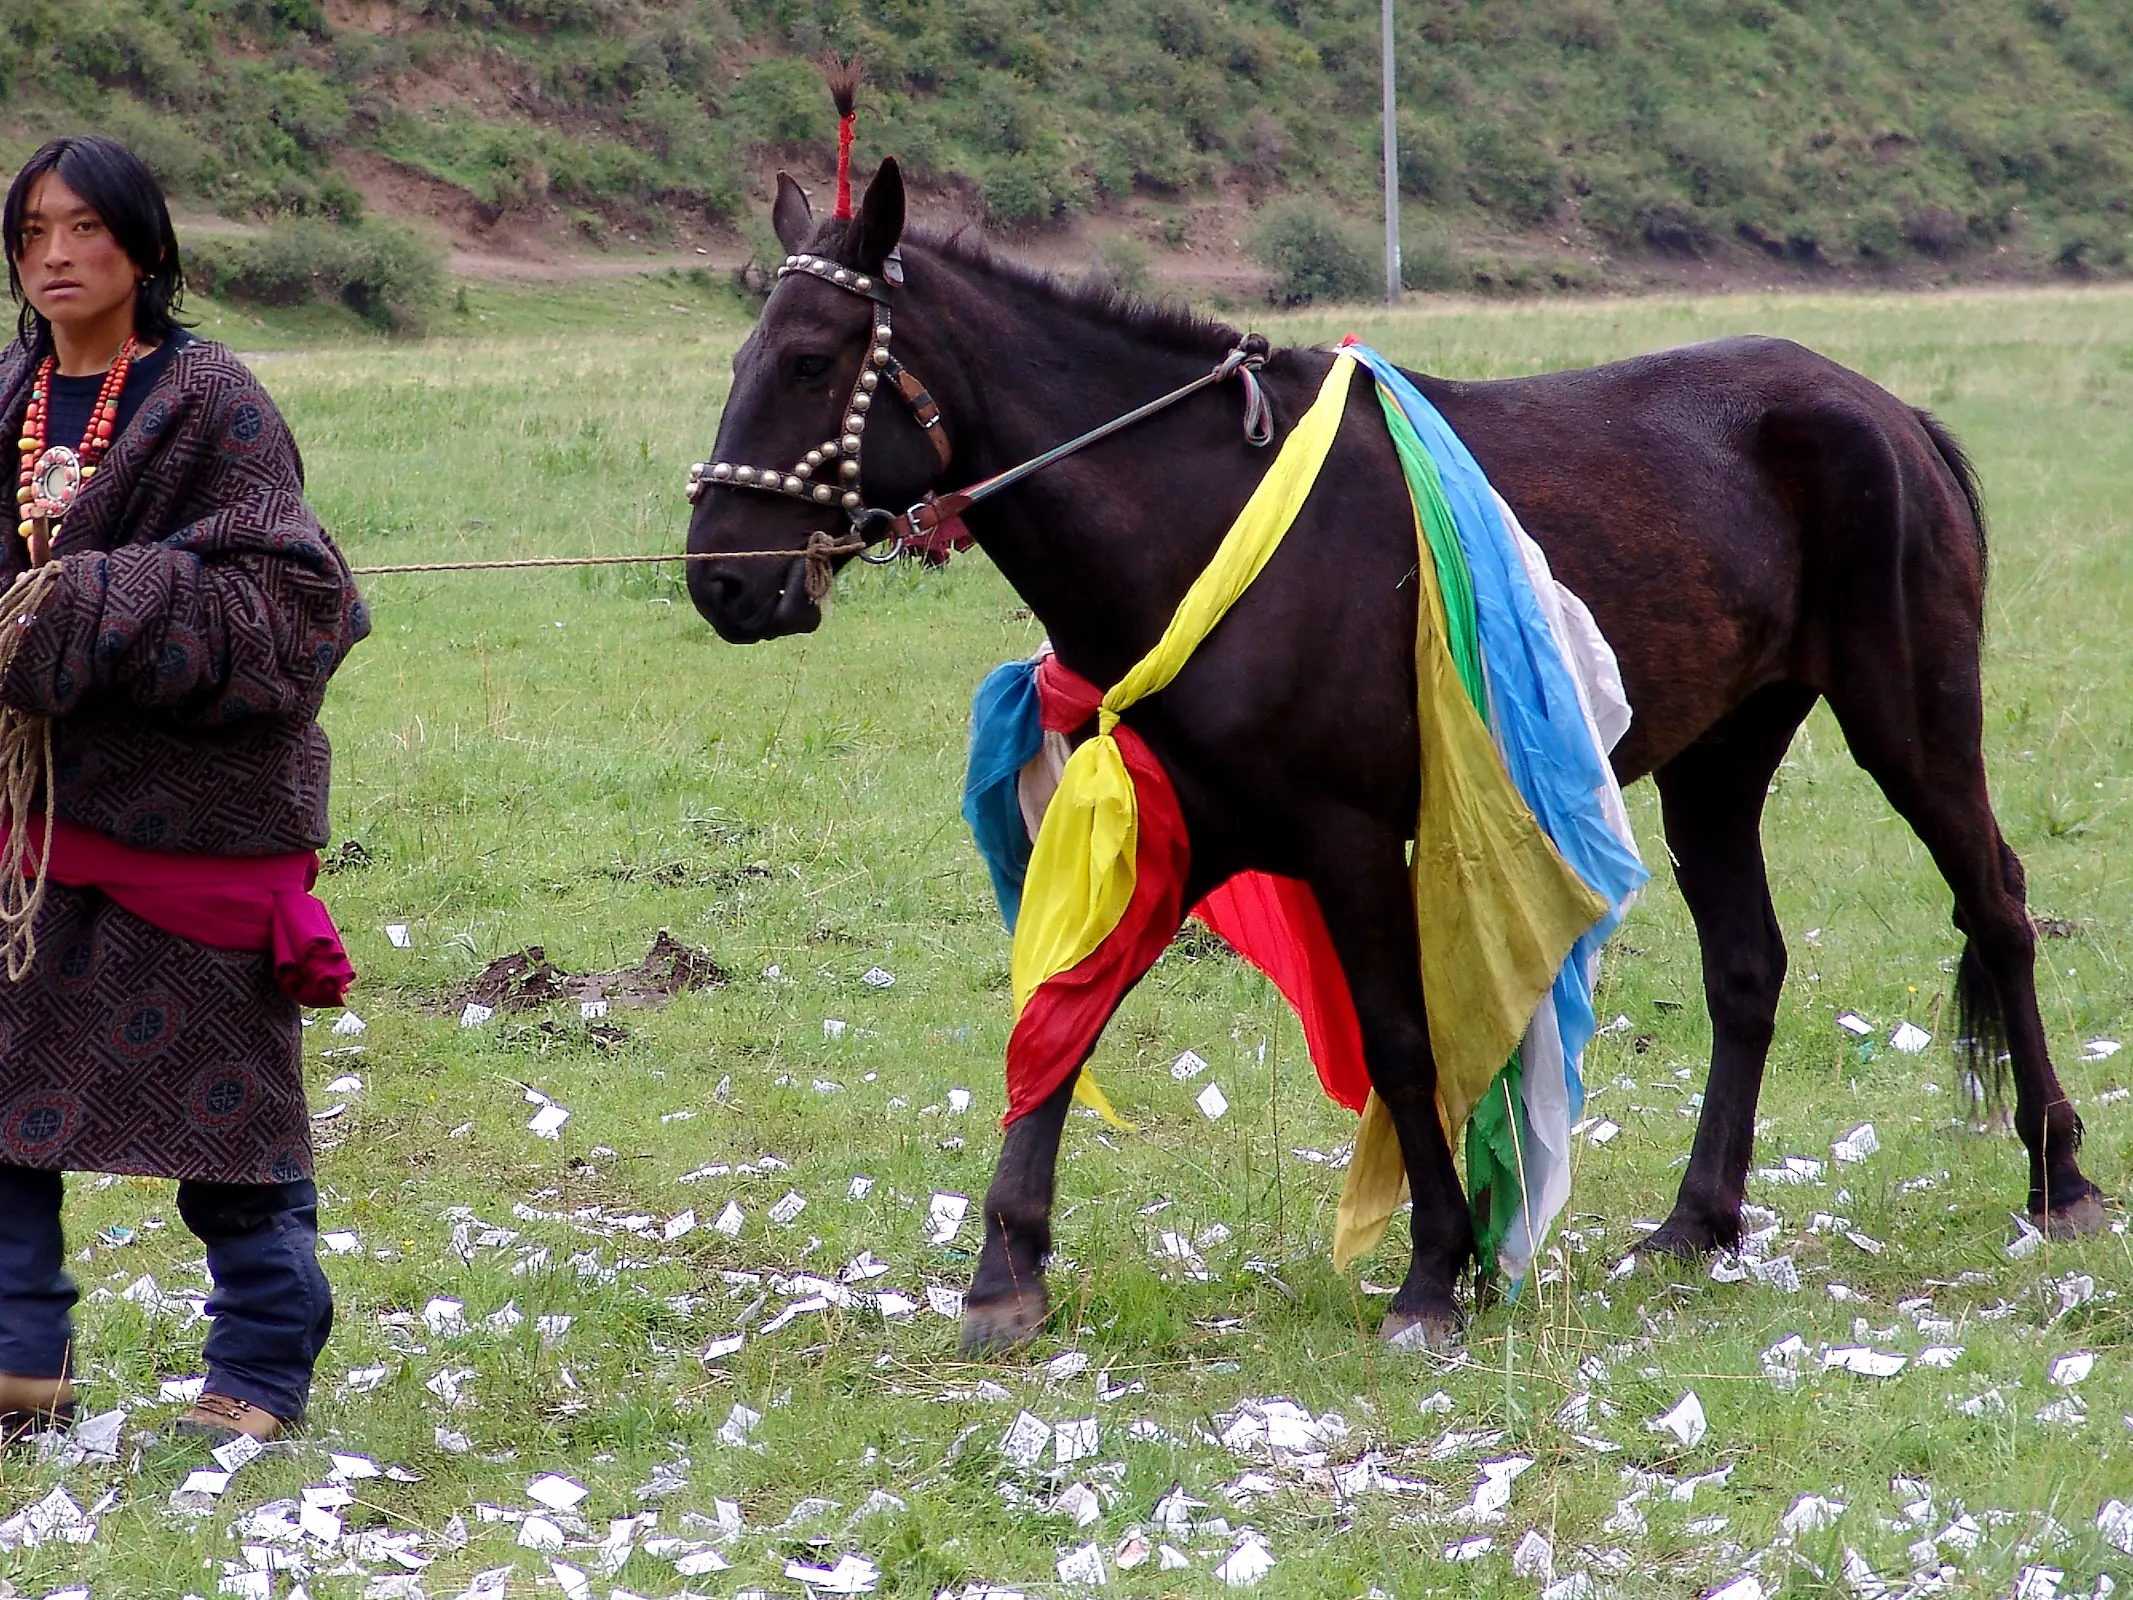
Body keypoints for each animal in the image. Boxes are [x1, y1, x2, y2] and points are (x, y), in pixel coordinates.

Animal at [684, 158, 2106, 1354]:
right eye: (747, 352)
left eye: (809, 359)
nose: (721, 579)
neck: (1206, 521)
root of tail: (1880, 410)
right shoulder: (1193, 836)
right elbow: (1065, 1022)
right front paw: (1006, 1267)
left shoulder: (1353, 838)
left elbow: (1403, 1039)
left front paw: (1435, 1269)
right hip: (1717, 764)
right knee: (1748, 968)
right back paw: (1701, 1218)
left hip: (1913, 723)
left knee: (1995, 904)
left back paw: (2060, 1173)